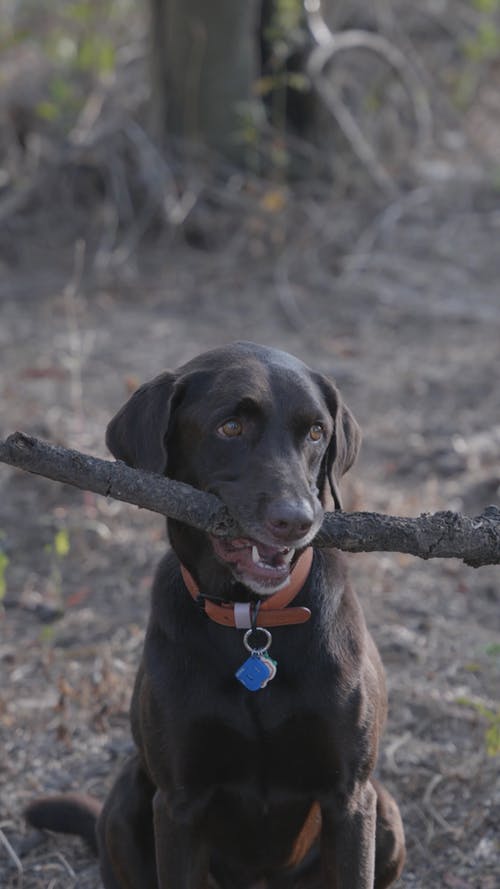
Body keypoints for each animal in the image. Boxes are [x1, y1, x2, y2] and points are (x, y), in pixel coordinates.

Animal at [25, 344, 404, 888]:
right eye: (230, 427)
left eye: (316, 432)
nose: (298, 520)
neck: (253, 620)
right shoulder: (178, 804)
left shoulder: (350, 798)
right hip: (126, 799)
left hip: (387, 813)